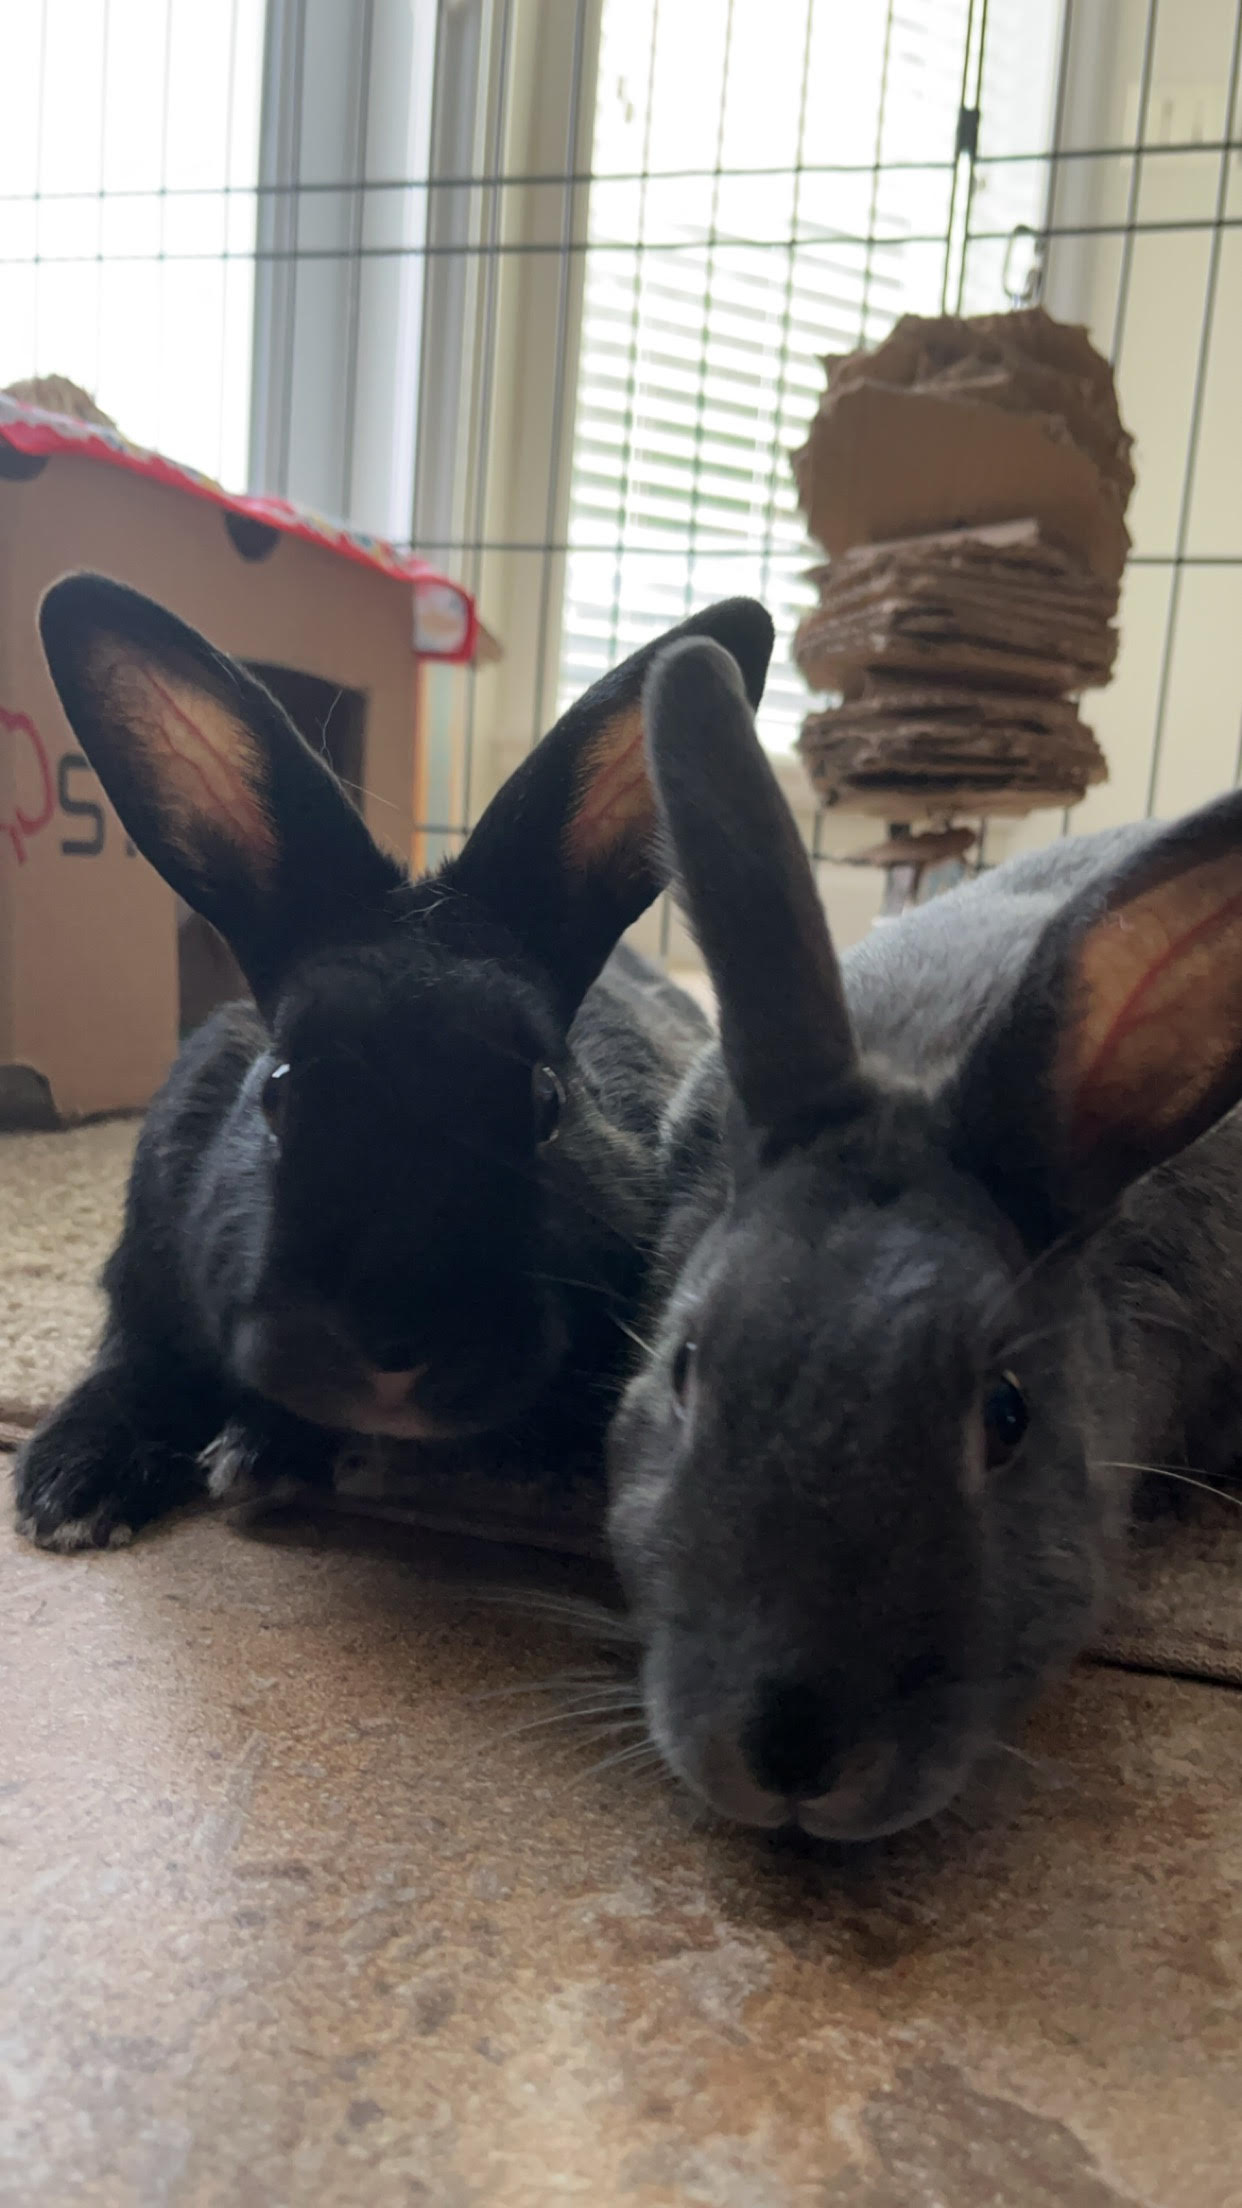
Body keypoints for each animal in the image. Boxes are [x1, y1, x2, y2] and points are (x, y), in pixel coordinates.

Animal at [13, 576, 774, 1551]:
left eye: (546, 1100)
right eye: (278, 1090)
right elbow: (131, 1361)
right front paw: (73, 1489)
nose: (393, 1349)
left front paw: (259, 1450)